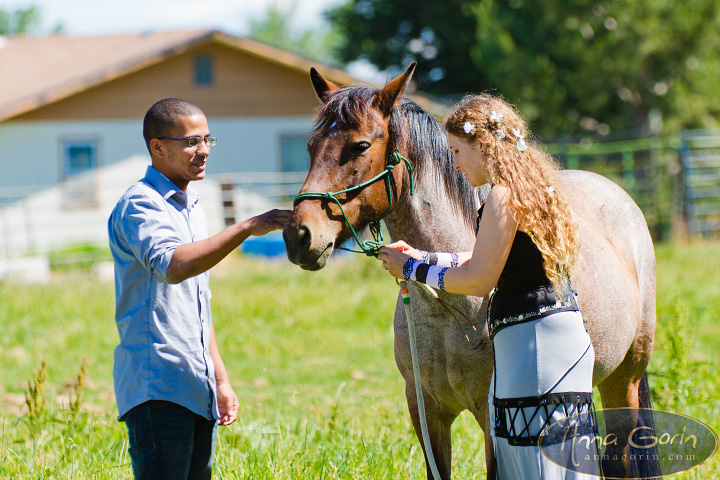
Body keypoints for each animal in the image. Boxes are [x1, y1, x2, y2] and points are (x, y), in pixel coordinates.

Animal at [284, 62, 656, 478]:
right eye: (310, 147)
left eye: (360, 146)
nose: (298, 235)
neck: (451, 310)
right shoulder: (426, 413)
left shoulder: (492, 420)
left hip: (625, 377)